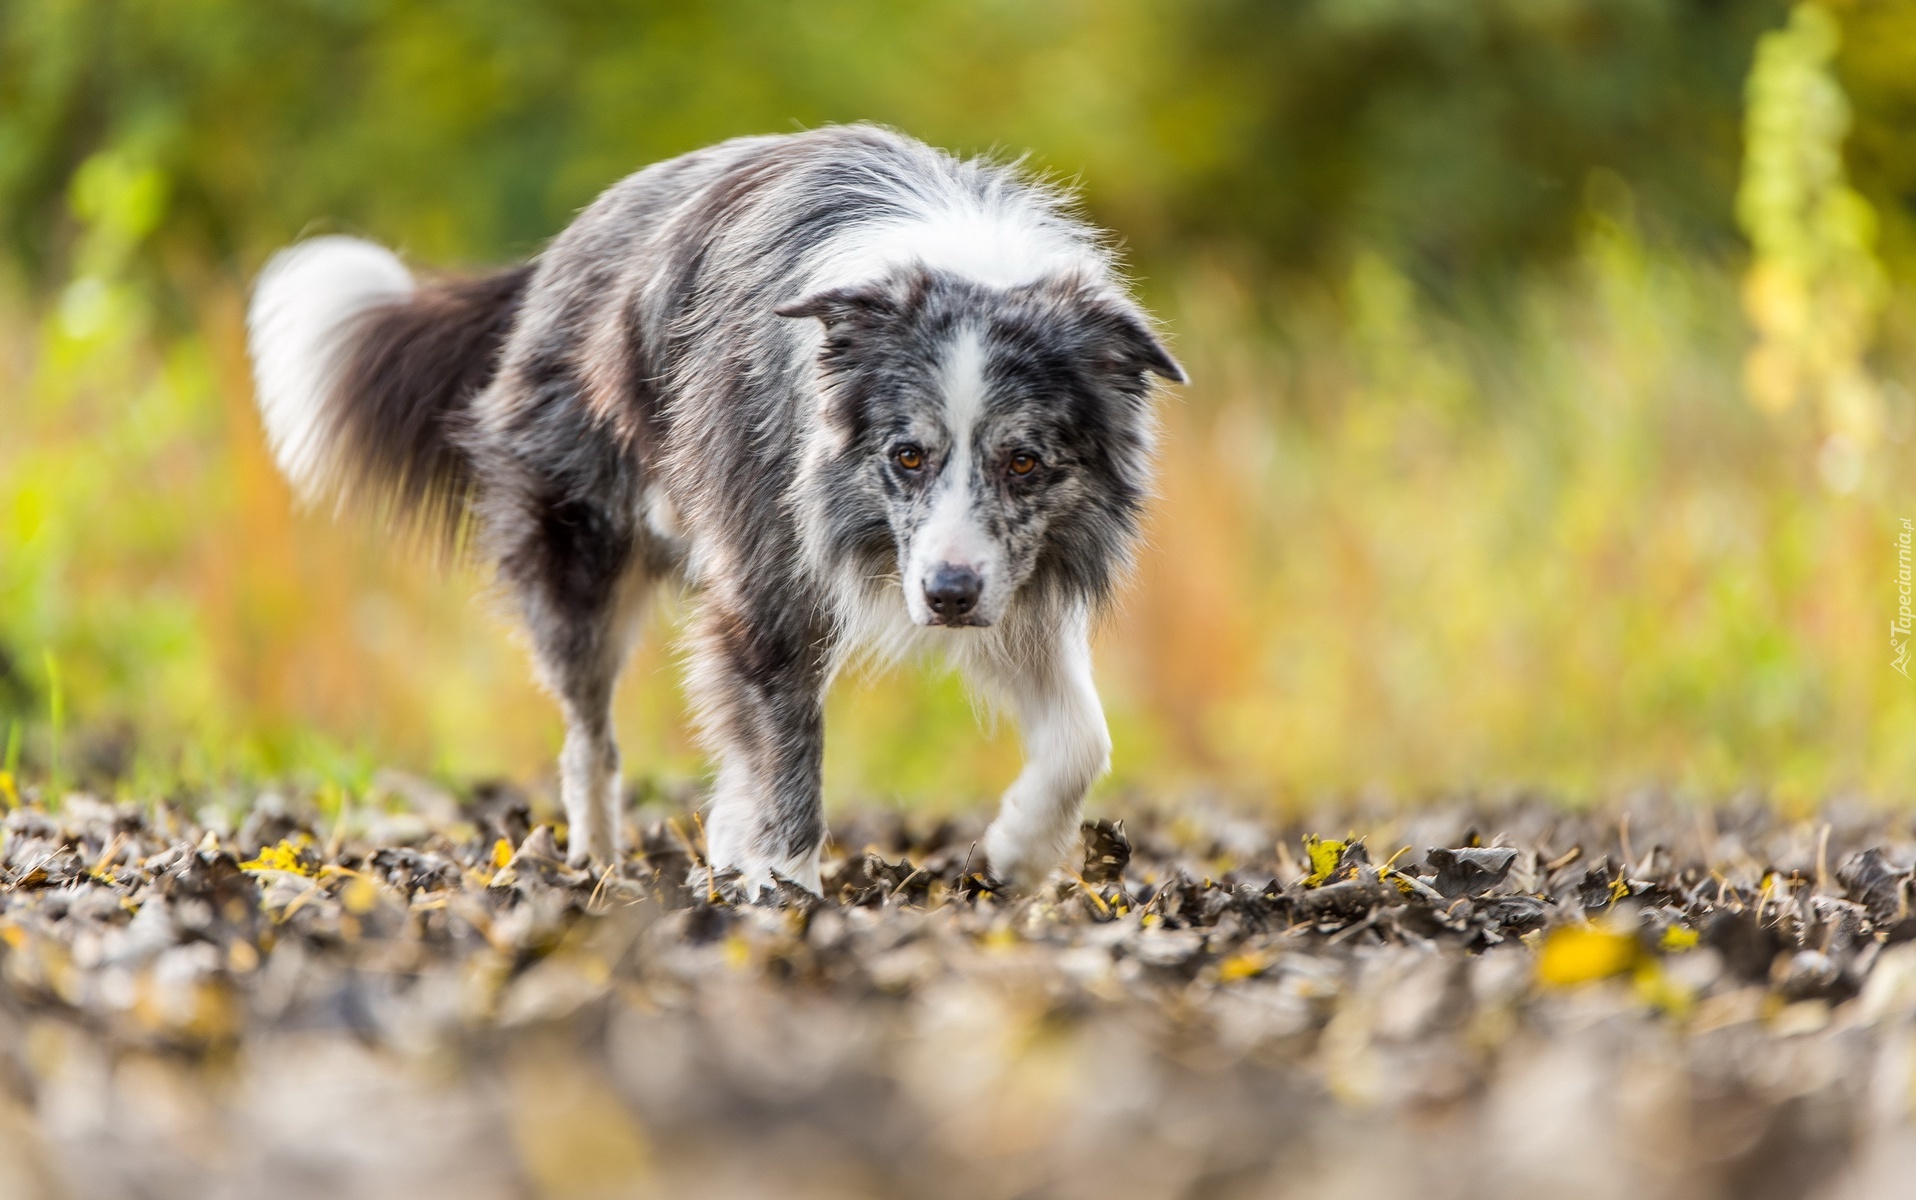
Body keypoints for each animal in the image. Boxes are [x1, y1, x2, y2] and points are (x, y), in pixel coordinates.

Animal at [247, 126, 1180, 893]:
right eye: (907, 455)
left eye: (1023, 462)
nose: (948, 597)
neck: (960, 255)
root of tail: (548, 265)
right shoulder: (775, 576)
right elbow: (788, 753)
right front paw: (793, 896)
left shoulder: (998, 577)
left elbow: (1082, 738)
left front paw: (1019, 852)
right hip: (582, 558)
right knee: (591, 737)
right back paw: (599, 861)